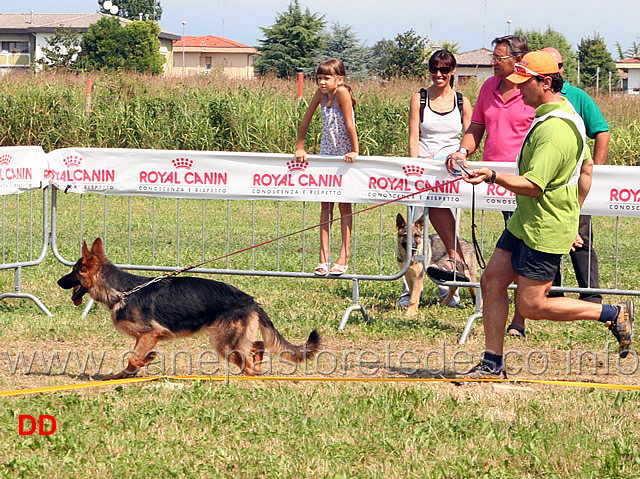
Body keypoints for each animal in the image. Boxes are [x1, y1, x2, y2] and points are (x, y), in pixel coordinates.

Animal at [58, 238, 320, 380]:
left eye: (73, 272)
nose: (58, 282)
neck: (123, 291)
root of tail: (250, 300)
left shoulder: (151, 334)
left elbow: (134, 357)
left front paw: (143, 363)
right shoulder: (143, 337)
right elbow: (132, 358)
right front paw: (123, 375)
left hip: (224, 343)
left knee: (248, 358)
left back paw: (250, 375)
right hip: (232, 340)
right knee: (257, 346)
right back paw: (256, 366)